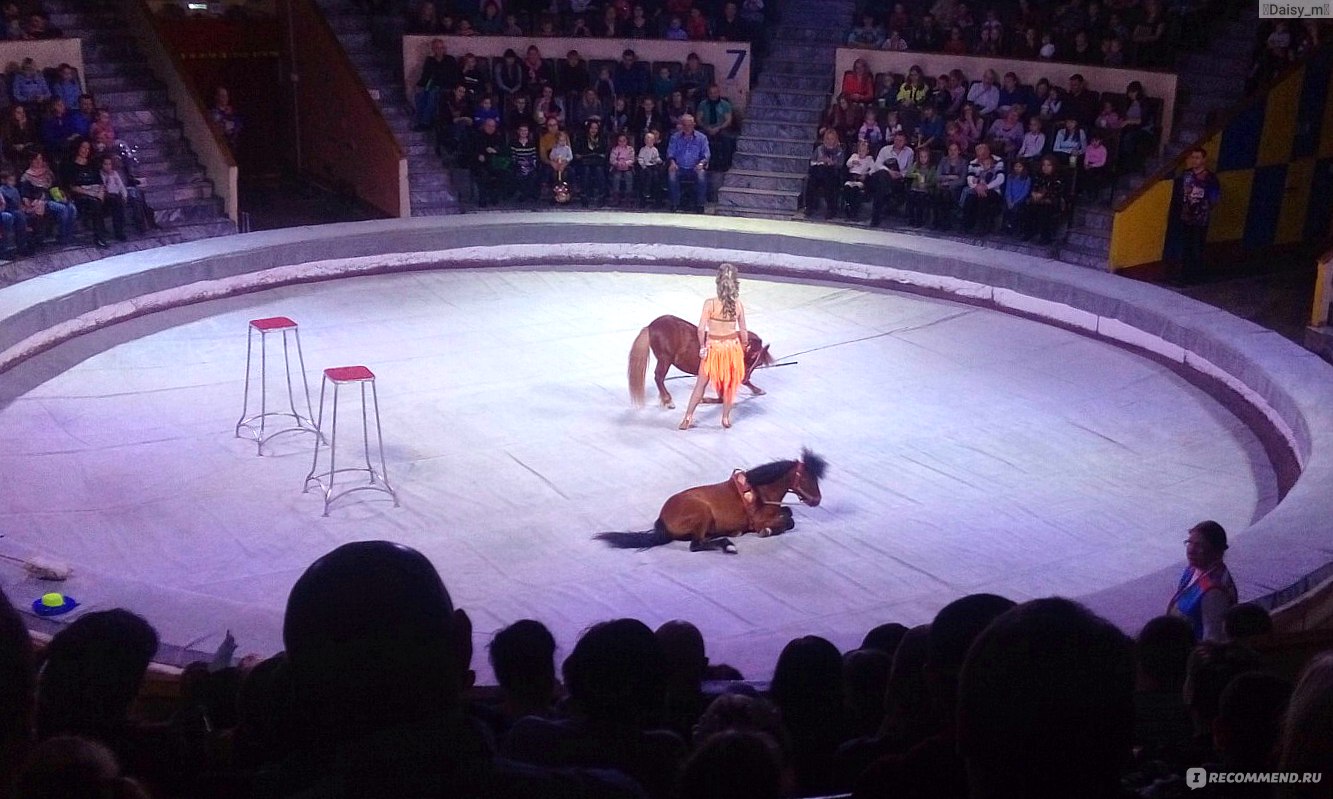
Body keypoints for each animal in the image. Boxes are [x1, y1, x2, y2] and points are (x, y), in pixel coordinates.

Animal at [594, 450, 821, 557]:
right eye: (807, 478)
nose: (817, 500)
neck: (759, 491)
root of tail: (662, 518)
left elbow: (788, 513)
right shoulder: (759, 520)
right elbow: (787, 521)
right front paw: (768, 531)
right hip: (702, 514)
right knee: (696, 545)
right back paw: (728, 544)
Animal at [629, 316, 778, 410]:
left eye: (758, 363)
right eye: (753, 357)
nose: (745, 377)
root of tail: (651, 326)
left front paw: (757, 390)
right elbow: (722, 398)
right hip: (665, 359)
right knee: (659, 377)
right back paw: (668, 400)